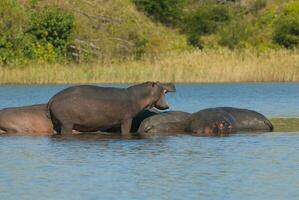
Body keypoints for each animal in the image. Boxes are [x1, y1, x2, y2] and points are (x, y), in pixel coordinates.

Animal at [47, 81, 176, 136]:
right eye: (158, 84)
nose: (172, 84)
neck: (140, 95)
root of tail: (52, 99)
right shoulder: (127, 119)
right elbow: (126, 130)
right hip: (67, 124)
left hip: (57, 123)